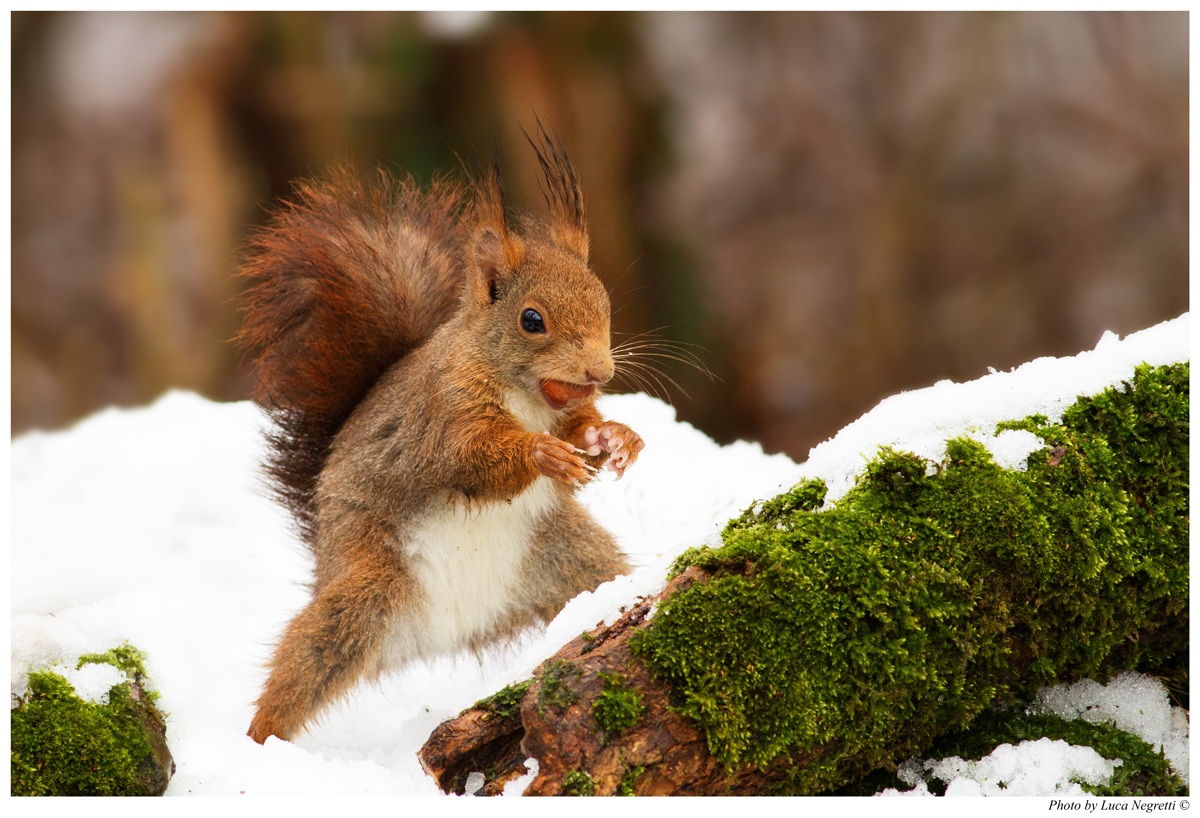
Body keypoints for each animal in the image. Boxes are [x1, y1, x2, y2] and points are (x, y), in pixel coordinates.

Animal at [239, 127, 644, 745]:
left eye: (604, 302)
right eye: (532, 319)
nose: (600, 372)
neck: (526, 397)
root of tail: (442, 634)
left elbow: (584, 438)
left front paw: (615, 437)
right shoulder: (442, 416)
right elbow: (471, 460)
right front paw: (540, 453)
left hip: (568, 558)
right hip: (364, 588)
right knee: (304, 663)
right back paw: (260, 742)